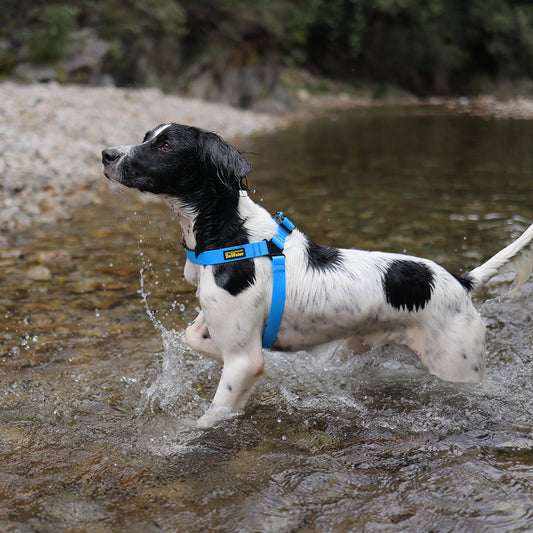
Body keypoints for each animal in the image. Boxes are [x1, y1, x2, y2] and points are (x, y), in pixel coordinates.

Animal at [103, 122, 532, 426]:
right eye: (146, 137)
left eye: (165, 146)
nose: (106, 153)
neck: (230, 235)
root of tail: (459, 281)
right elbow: (194, 336)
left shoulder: (243, 361)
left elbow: (212, 415)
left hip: (457, 367)